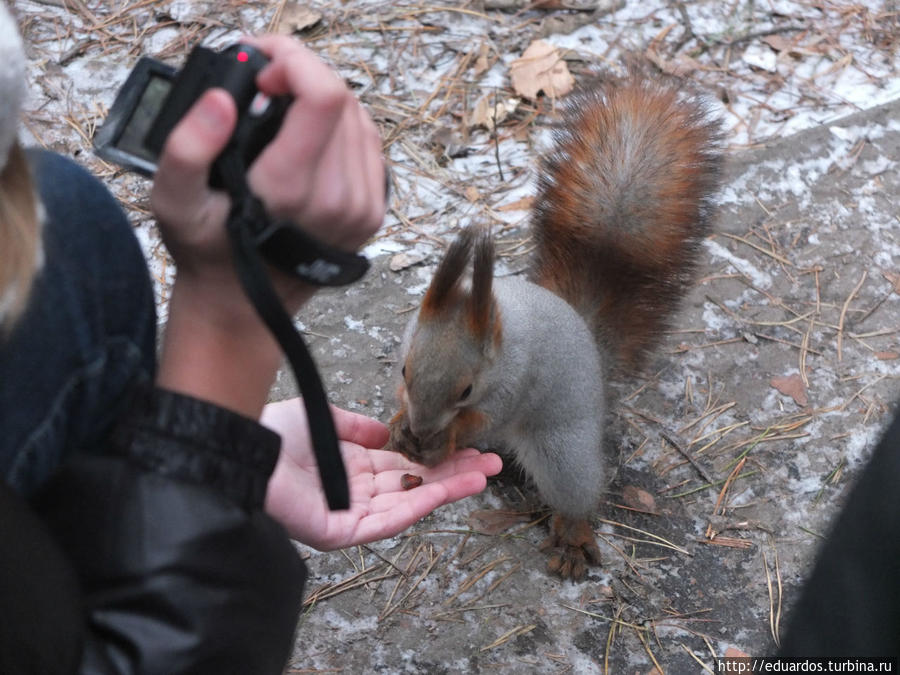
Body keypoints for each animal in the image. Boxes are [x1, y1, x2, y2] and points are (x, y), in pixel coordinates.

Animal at [386, 75, 724, 580]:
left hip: (562, 447)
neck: (499, 326)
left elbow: (482, 419)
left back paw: (572, 536)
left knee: (575, 491)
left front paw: (440, 440)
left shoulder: (517, 381)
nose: (423, 427)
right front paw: (397, 425)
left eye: (466, 389)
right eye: (405, 370)